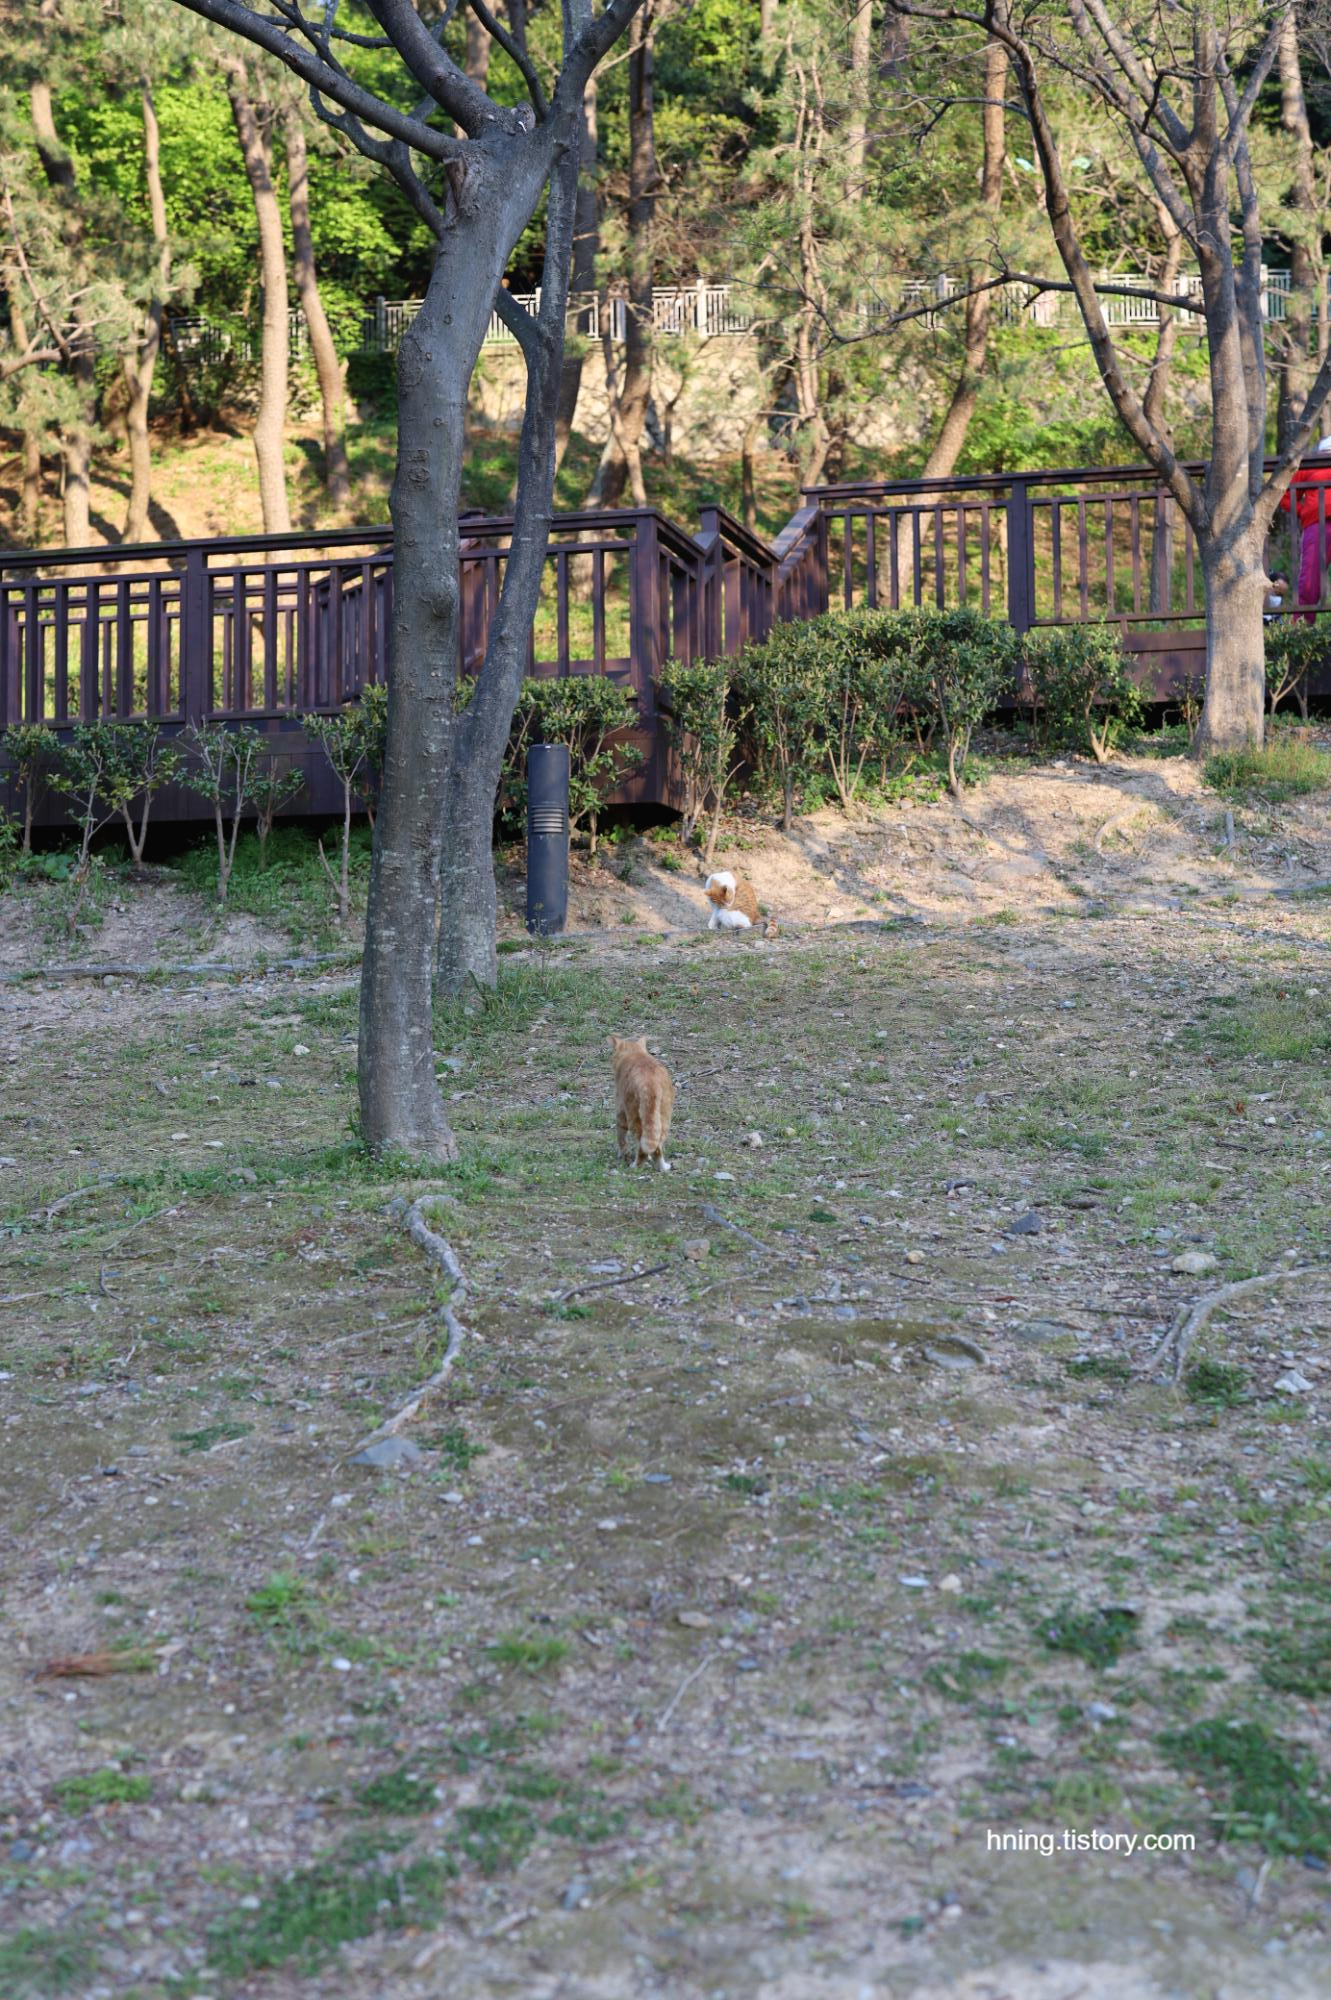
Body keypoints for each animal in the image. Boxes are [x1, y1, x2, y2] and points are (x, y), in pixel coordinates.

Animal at [609, 1035, 675, 1171]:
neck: (635, 1053)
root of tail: (651, 1082)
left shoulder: (620, 1108)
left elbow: (621, 1136)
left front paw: (622, 1154)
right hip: (664, 1115)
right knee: (657, 1145)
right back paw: (663, 1167)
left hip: (633, 1113)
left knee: (642, 1145)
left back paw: (635, 1166)